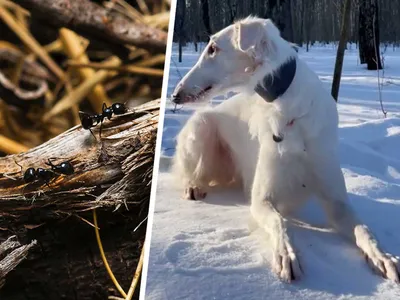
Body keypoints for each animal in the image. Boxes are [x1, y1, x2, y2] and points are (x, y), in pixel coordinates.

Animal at [170, 16, 400, 282]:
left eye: (213, 49)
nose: (175, 95)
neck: (287, 109)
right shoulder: (260, 199)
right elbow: (281, 222)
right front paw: (286, 256)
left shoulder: (336, 200)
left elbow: (363, 228)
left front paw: (383, 257)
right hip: (202, 125)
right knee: (188, 172)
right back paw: (193, 186)